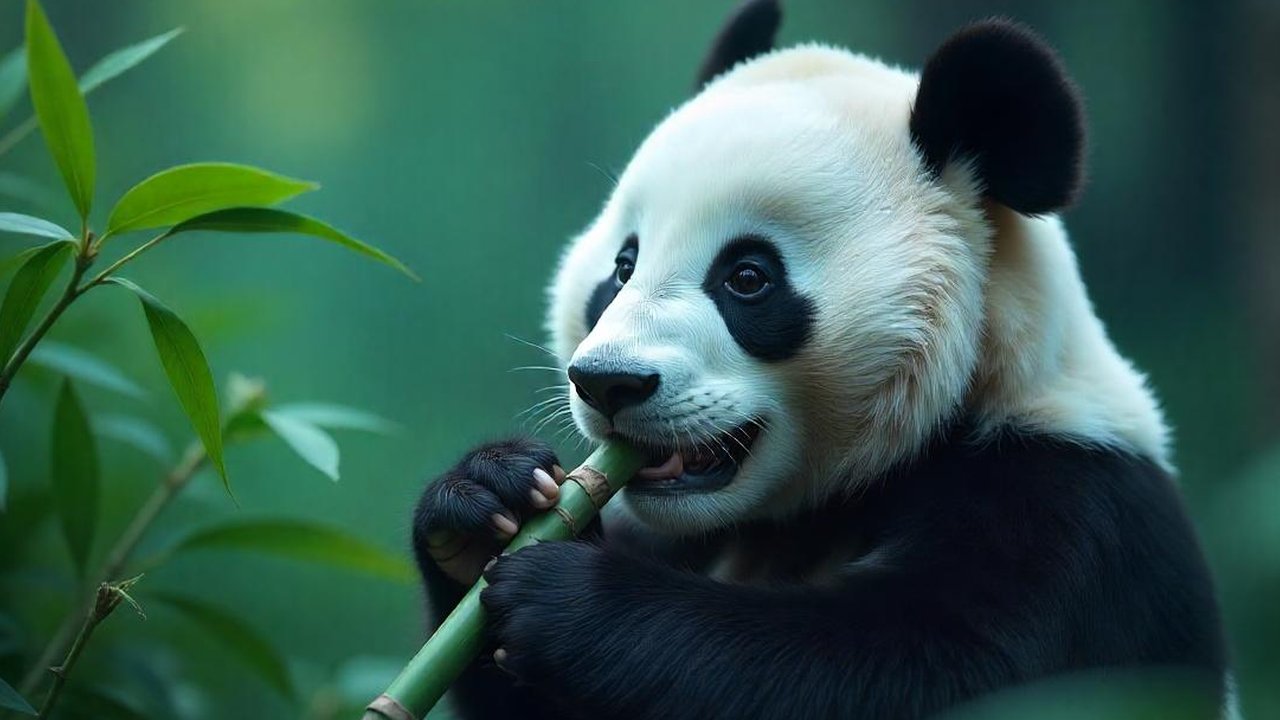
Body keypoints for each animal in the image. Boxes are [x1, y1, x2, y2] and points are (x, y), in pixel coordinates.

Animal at [412, 2, 1230, 718]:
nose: (609, 383)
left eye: (748, 277)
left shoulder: (1070, 524)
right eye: (622, 266)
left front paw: (568, 599)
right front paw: (483, 501)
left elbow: (912, 666)